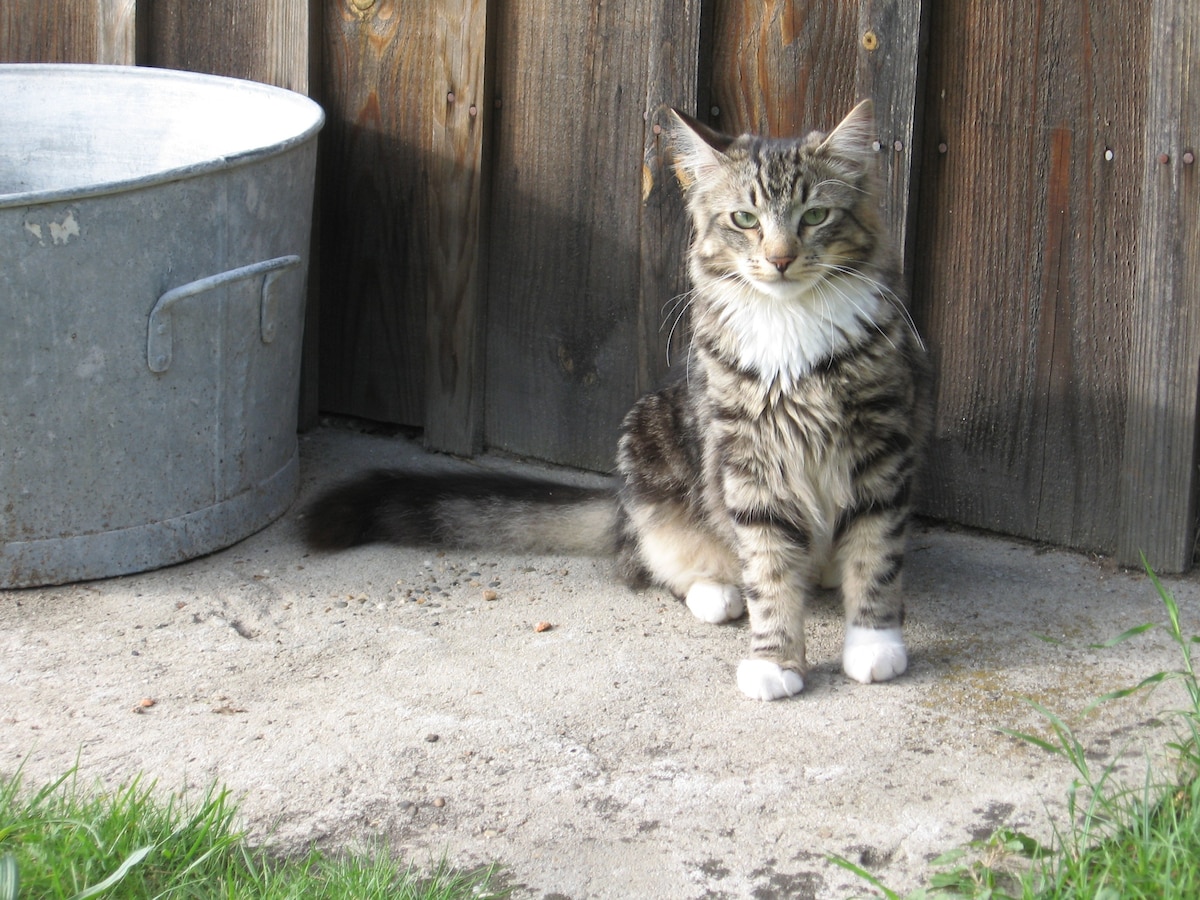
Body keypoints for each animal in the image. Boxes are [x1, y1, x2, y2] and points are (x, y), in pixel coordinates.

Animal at [304, 100, 931, 705]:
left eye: (815, 217)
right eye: (745, 220)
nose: (779, 259)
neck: (790, 324)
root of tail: (619, 505)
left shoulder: (882, 449)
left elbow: (875, 558)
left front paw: (874, 644)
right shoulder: (749, 461)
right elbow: (769, 572)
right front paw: (774, 661)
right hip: (649, 441)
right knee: (647, 561)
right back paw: (717, 592)